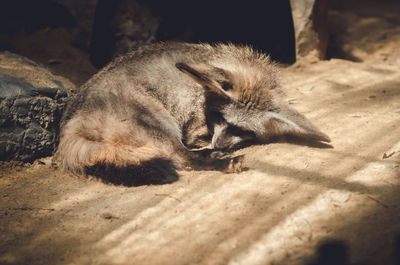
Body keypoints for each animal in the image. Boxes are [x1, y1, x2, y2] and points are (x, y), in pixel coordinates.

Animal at [54, 41, 330, 179]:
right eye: (221, 118)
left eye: (243, 130)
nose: (218, 144)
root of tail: (72, 120)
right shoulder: (193, 124)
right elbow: (194, 141)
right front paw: (213, 149)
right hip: (160, 120)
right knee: (183, 159)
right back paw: (223, 161)